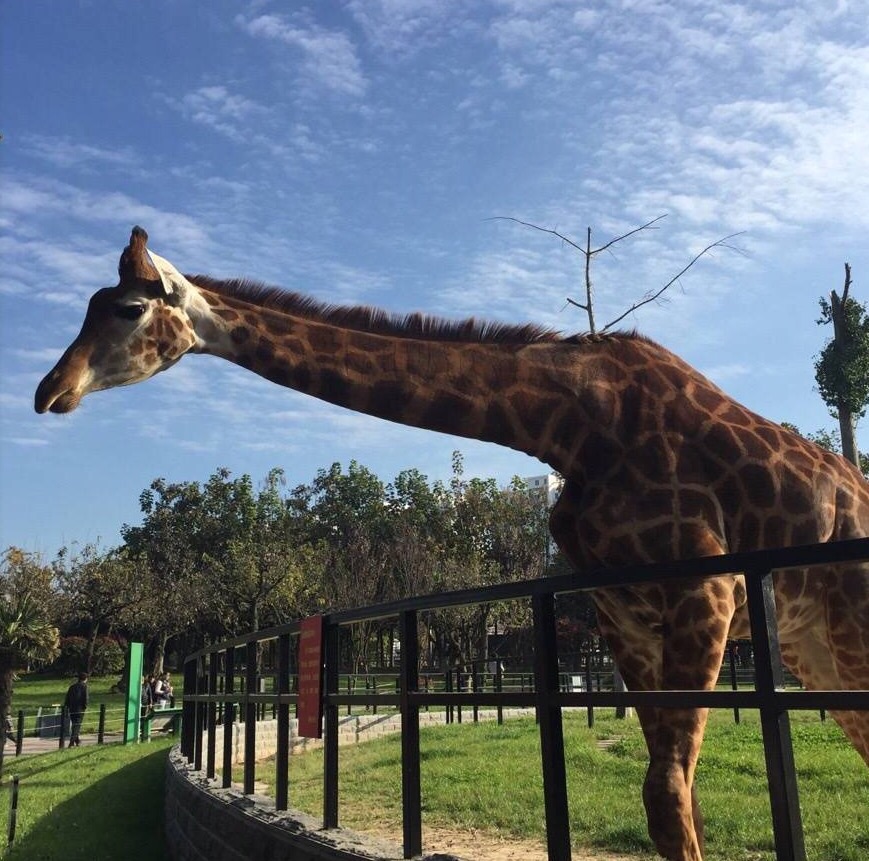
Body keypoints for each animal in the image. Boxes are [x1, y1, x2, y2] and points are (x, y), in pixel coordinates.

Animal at [34, 228, 868, 860]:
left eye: (128, 308)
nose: (48, 390)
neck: (565, 424)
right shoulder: (623, 609)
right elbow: (675, 800)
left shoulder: (706, 590)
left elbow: (666, 794)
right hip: (807, 648)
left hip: (842, 628)